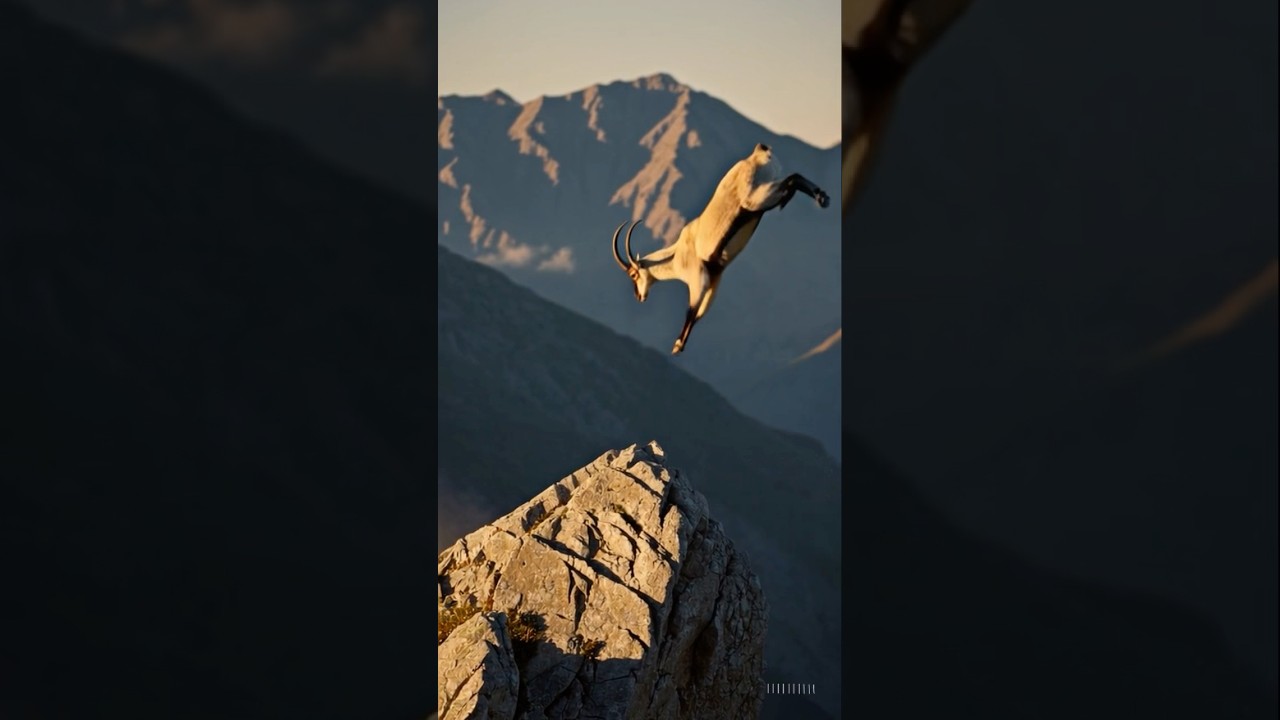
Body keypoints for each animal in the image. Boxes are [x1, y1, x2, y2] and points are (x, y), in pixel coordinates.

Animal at [611, 143, 830, 355]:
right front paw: (680, 345)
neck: (677, 254)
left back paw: (820, 198)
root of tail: (757, 152)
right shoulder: (715, 280)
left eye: (633, 275)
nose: (639, 296)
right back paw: (821, 197)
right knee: (793, 179)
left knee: (792, 179)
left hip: (756, 198)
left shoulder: (699, 279)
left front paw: (677, 346)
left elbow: (691, 310)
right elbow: (699, 314)